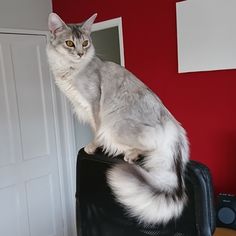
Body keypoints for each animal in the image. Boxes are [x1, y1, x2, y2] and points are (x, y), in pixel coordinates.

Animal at [46, 12, 190, 225]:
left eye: (85, 43)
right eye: (70, 43)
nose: (80, 53)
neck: (70, 70)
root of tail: (174, 129)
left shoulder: (94, 103)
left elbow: (97, 131)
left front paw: (92, 147)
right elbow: (95, 129)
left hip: (116, 125)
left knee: (148, 147)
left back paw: (130, 154)